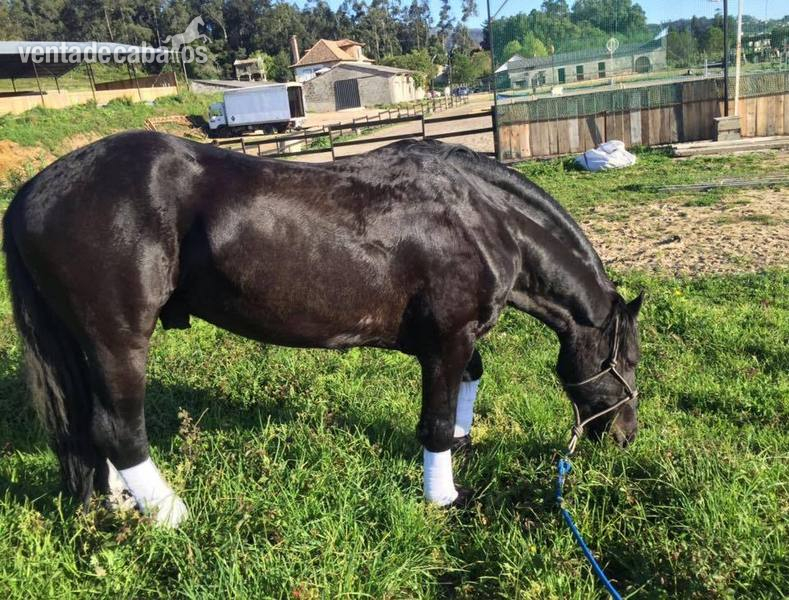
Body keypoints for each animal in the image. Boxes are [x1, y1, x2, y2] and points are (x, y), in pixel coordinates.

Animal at [3, 133, 643, 527]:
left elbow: (467, 385)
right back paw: (172, 517)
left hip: (85, 342)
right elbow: (435, 421)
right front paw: (443, 497)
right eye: (631, 362)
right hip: (119, 337)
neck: (481, 216)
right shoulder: (448, 339)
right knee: (119, 428)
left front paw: (463, 443)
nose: (625, 436)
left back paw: (119, 502)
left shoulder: (454, 342)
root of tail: (32, 190)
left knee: (92, 423)